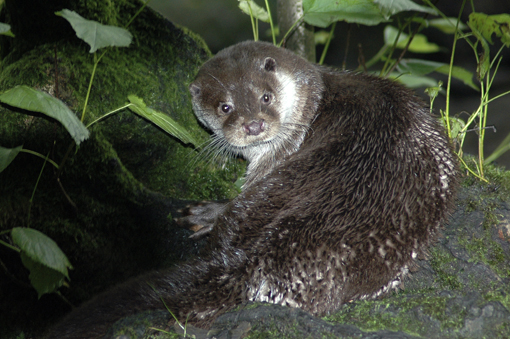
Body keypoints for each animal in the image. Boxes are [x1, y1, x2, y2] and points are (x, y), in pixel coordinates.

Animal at [47, 41, 458, 338]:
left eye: (265, 97)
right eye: (225, 107)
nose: (254, 125)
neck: (314, 98)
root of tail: (256, 262)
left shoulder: (282, 150)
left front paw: (207, 211)